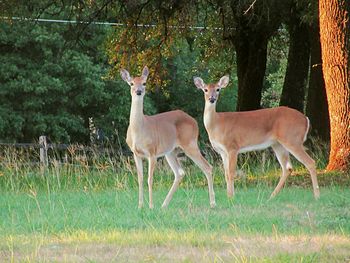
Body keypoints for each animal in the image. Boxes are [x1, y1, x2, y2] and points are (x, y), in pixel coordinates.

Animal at [120, 66, 216, 210]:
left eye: (144, 83)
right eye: (131, 83)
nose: (138, 91)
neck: (139, 129)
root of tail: (194, 121)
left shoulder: (152, 152)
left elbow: (150, 179)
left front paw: (151, 206)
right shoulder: (135, 153)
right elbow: (140, 179)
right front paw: (140, 206)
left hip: (190, 144)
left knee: (207, 167)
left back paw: (212, 203)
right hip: (170, 151)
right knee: (180, 172)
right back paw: (164, 204)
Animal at [193, 75, 322, 201]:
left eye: (218, 89)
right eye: (205, 89)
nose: (212, 98)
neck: (217, 124)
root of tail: (305, 119)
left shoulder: (232, 147)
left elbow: (231, 173)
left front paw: (231, 198)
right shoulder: (222, 152)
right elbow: (226, 174)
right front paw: (229, 196)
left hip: (292, 139)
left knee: (310, 162)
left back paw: (317, 196)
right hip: (278, 144)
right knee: (288, 167)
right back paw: (271, 196)